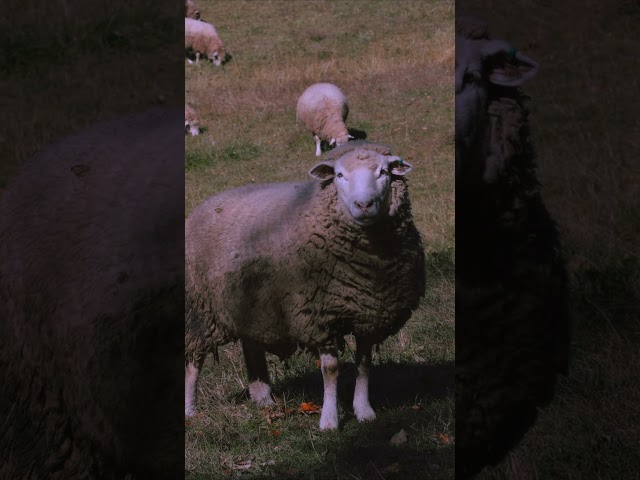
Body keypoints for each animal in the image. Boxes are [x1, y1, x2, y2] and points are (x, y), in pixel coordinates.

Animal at [184, 141, 424, 430]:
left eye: (383, 172)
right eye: (340, 175)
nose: (364, 204)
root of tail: (205, 204)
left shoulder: (369, 313)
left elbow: (365, 363)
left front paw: (364, 411)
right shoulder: (319, 317)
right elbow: (330, 369)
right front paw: (329, 420)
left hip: (251, 304)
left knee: (251, 347)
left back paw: (263, 398)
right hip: (201, 309)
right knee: (194, 360)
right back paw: (190, 409)